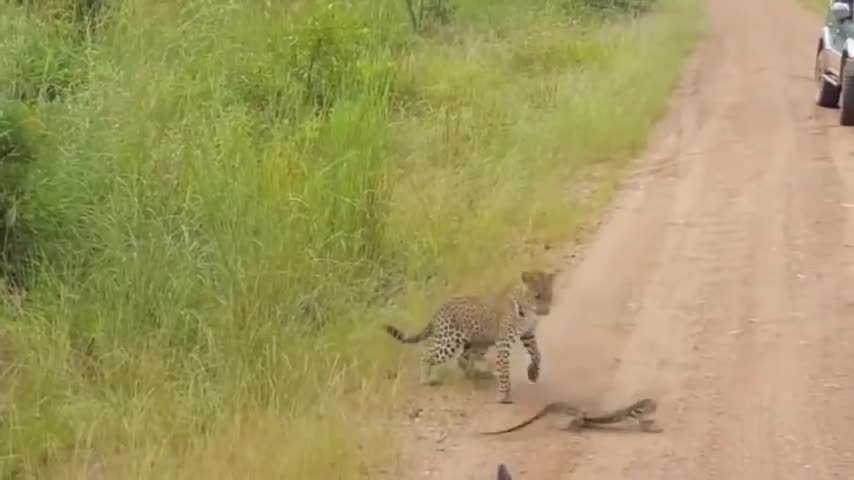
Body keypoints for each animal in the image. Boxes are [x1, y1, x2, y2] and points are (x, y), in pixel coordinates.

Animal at [384, 270, 560, 404]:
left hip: (479, 343)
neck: (527, 311)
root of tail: (438, 310)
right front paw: (503, 395)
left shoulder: (528, 334)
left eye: (549, 295)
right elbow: (504, 369)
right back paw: (426, 380)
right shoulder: (504, 341)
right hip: (449, 341)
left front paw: (533, 373)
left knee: (462, 358)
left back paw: (478, 374)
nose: (546, 311)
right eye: (537, 295)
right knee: (427, 354)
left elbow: (537, 355)